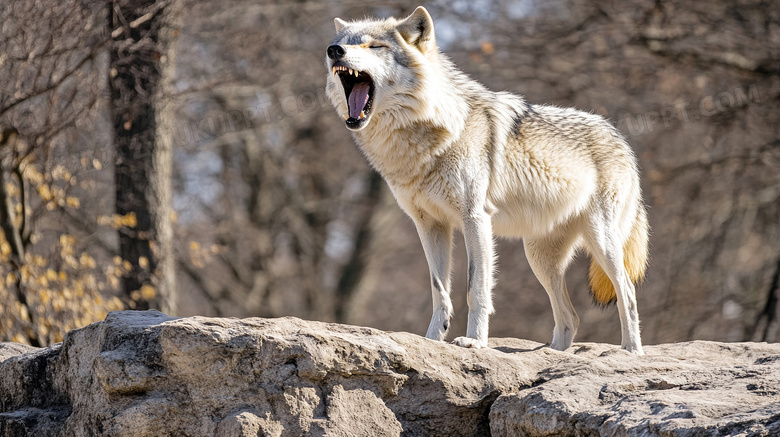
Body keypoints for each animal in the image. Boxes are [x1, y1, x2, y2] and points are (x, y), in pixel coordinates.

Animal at [326, 5, 648, 354]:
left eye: (375, 46)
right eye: (344, 43)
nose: (334, 51)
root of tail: (621, 138)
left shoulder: (475, 219)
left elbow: (475, 288)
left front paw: (474, 341)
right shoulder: (429, 224)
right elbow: (439, 290)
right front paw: (431, 339)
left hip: (601, 243)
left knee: (628, 293)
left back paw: (631, 351)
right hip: (539, 259)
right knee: (571, 317)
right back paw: (554, 353)